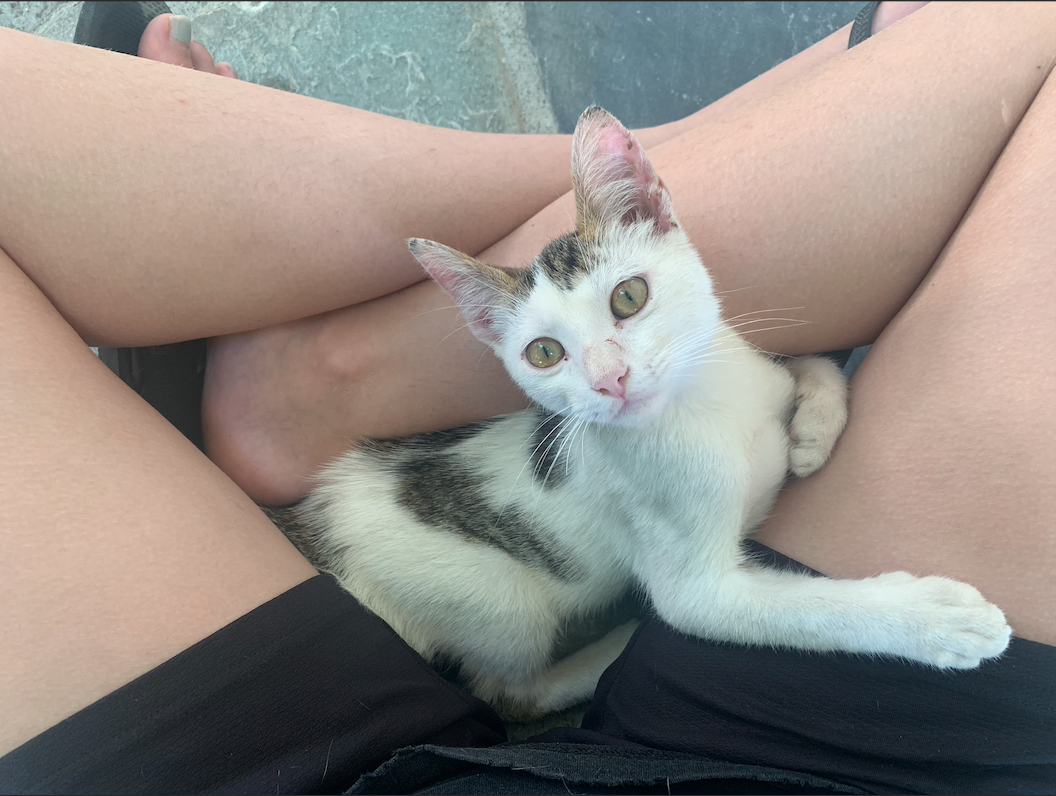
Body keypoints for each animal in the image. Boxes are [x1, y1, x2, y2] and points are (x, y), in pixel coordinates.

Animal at [274, 105, 1013, 717]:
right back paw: (606, 653)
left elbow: (803, 367)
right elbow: (800, 611)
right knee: (509, 691)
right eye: (544, 352)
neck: (706, 411)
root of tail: (314, 526)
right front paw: (933, 618)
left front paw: (812, 429)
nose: (611, 380)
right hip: (491, 599)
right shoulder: (699, 591)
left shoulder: (744, 367)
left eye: (628, 297)